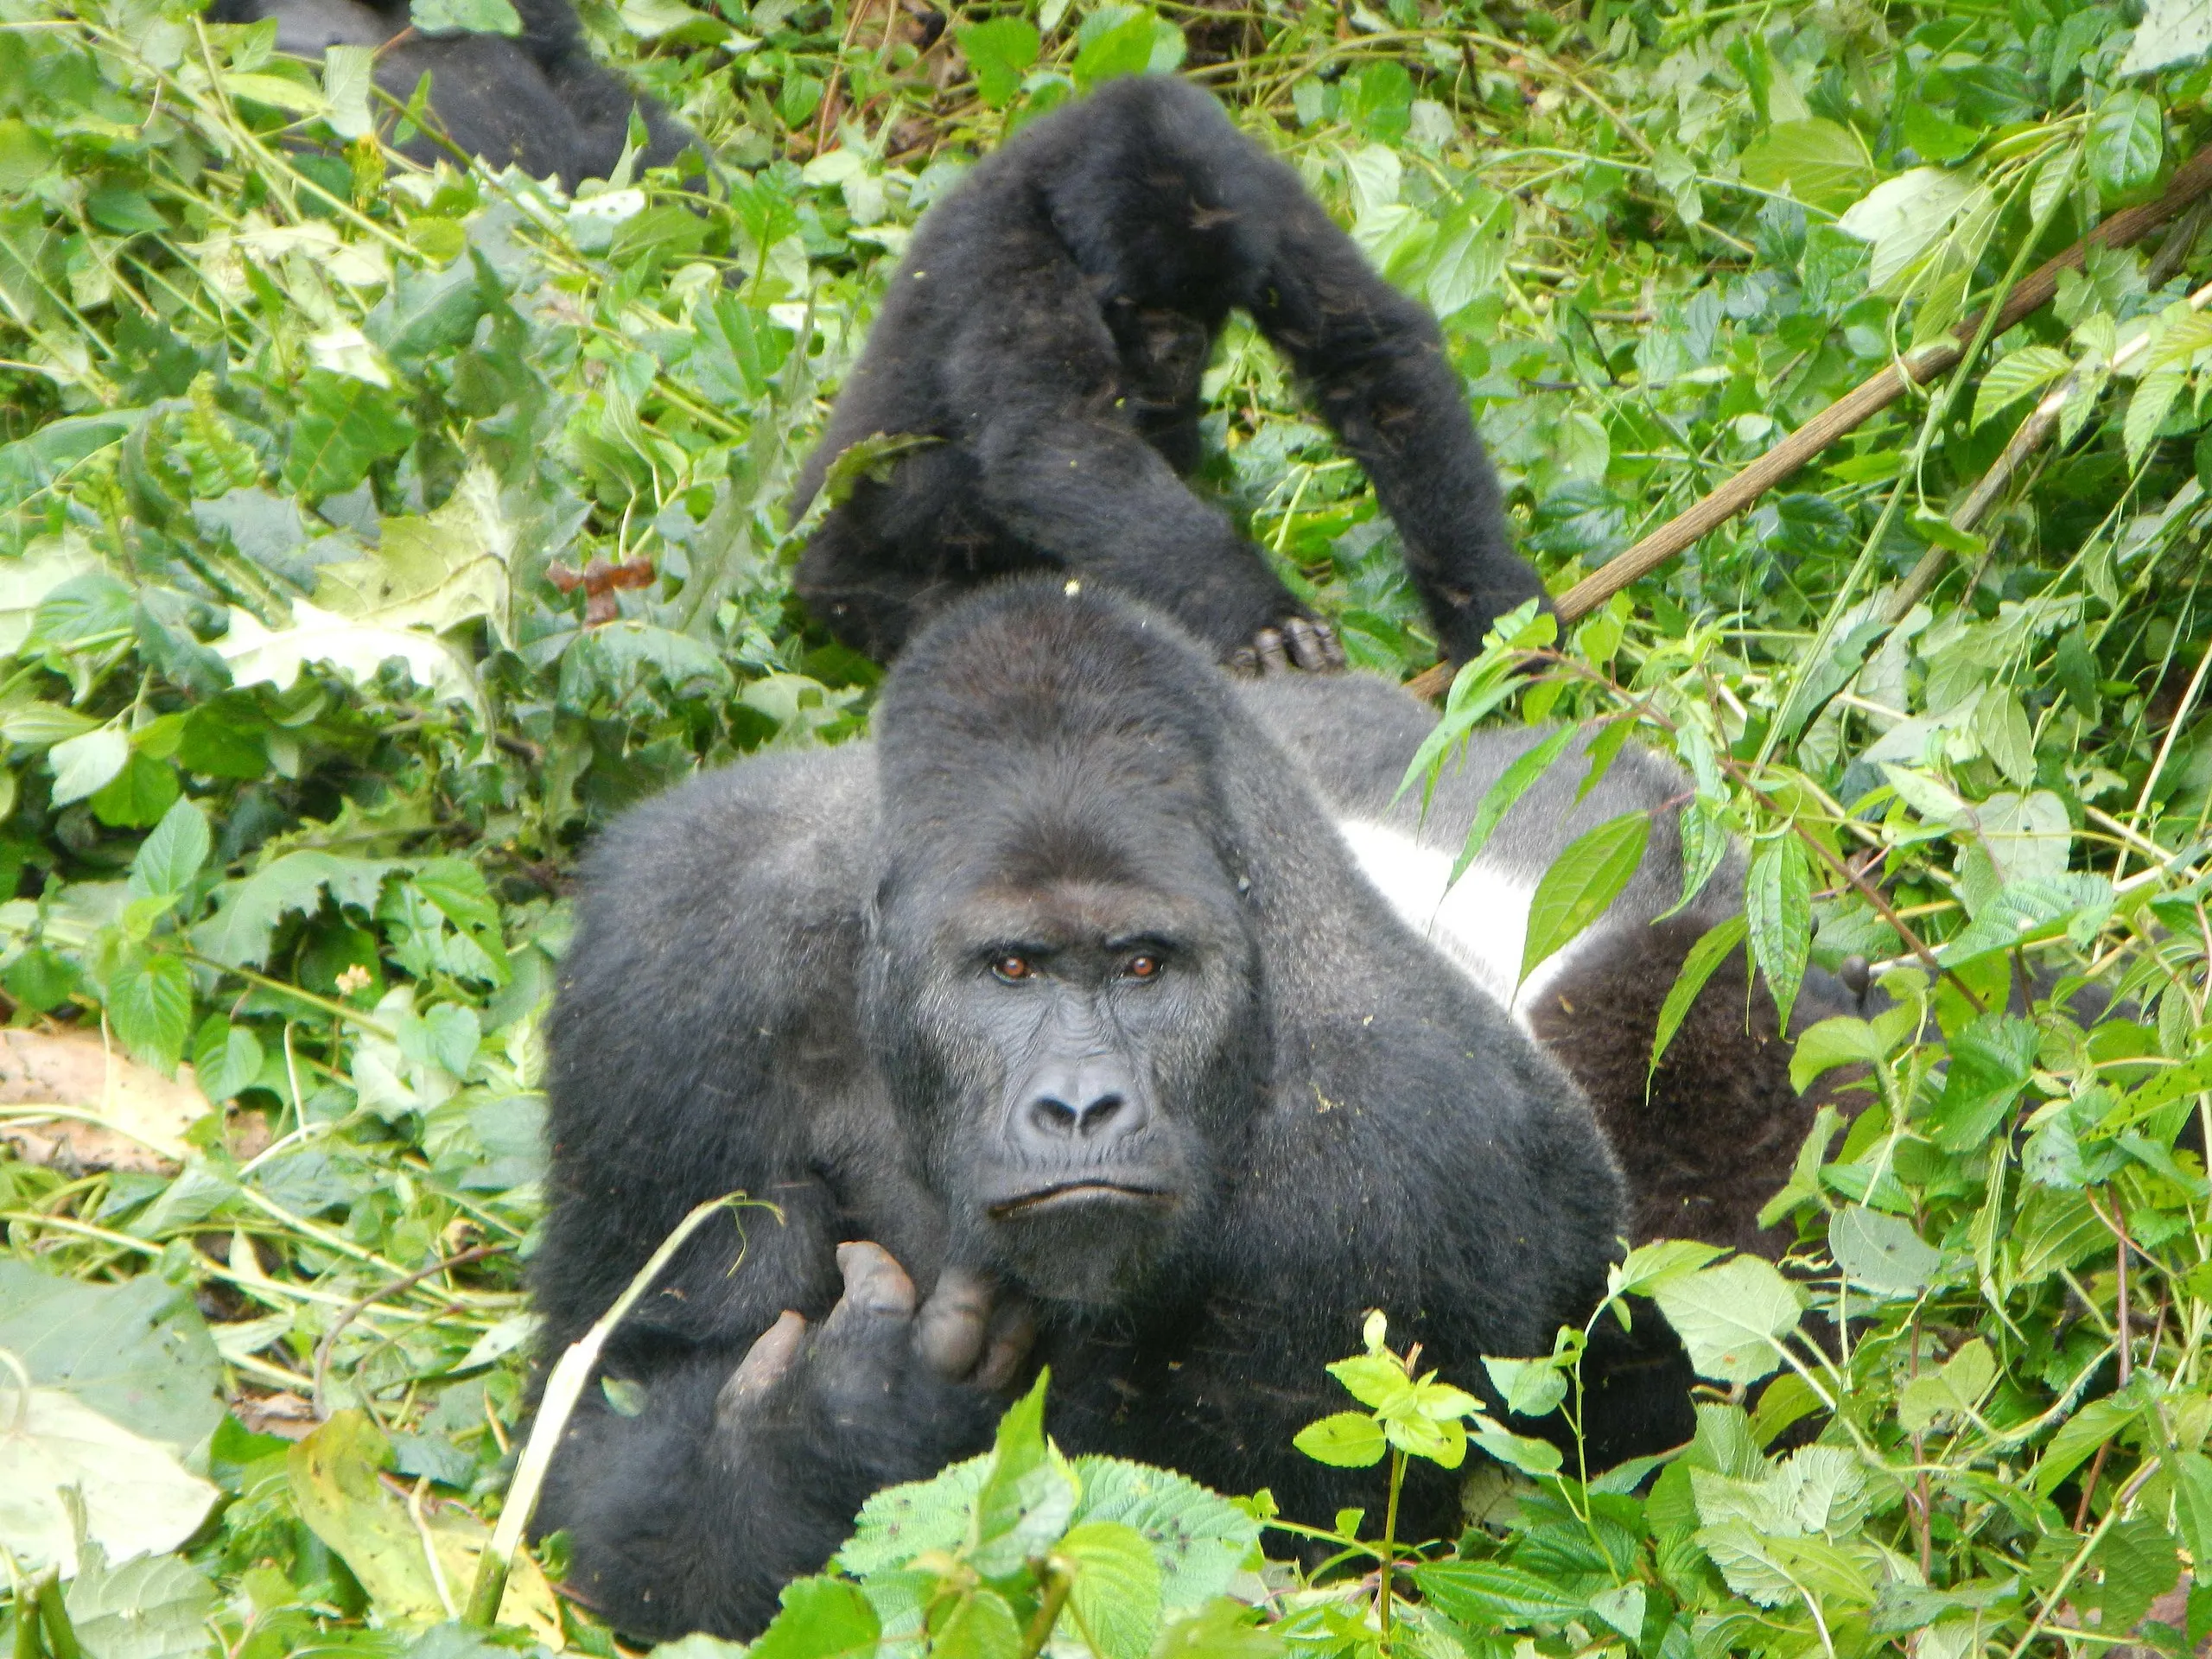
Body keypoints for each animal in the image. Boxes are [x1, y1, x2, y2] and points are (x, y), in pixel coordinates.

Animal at [535, 579, 1689, 1645]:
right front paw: (842, 1420)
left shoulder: (1401, 1160)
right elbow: (608, 1416)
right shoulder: (678, 949)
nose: (1080, 1104)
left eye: (1142, 967)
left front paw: (860, 1409)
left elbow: (1243, 1554)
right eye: (1011, 968)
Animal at [791, 78, 1539, 677]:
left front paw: (1489, 599)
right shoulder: (1001, 252)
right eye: (1141, 306)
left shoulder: (1266, 191)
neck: (1051, 183)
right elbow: (1061, 437)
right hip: (841, 571)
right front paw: (1251, 608)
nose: (1179, 350)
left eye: (1209, 307)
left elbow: (1367, 354)